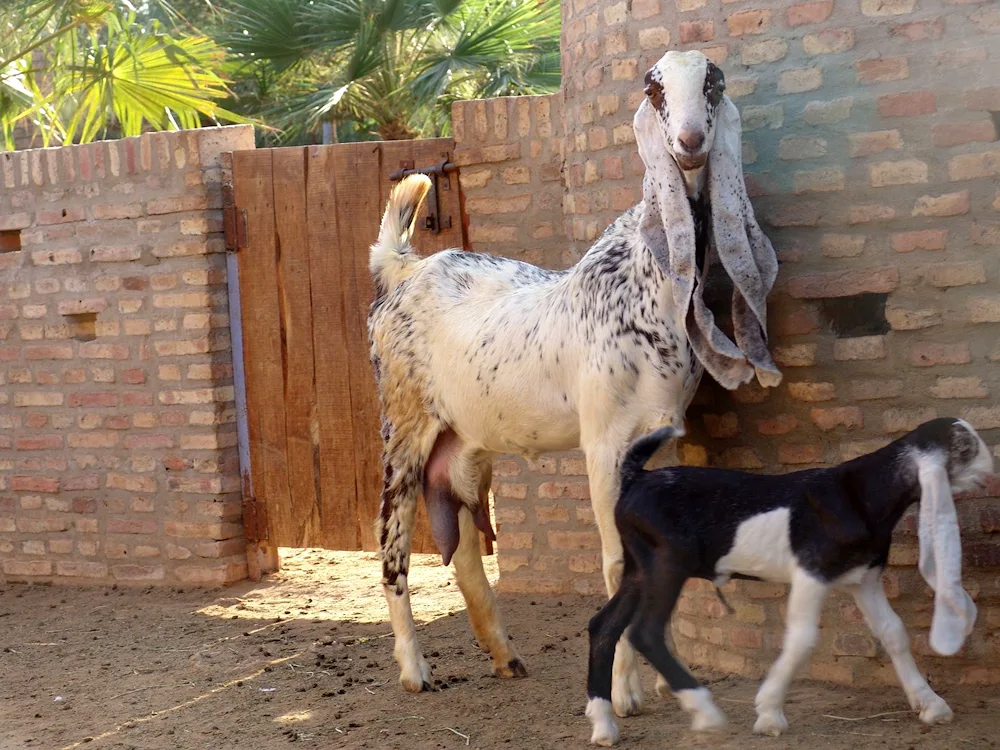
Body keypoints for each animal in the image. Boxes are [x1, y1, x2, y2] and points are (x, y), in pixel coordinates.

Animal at [368, 48, 780, 716]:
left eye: (713, 84)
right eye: (654, 89)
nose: (691, 142)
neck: (645, 282)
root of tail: (403, 270)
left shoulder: (657, 436)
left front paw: (665, 675)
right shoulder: (603, 441)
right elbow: (616, 563)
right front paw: (623, 693)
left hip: (466, 439)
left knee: (463, 540)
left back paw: (505, 657)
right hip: (403, 424)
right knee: (393, 536)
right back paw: (414, 668)